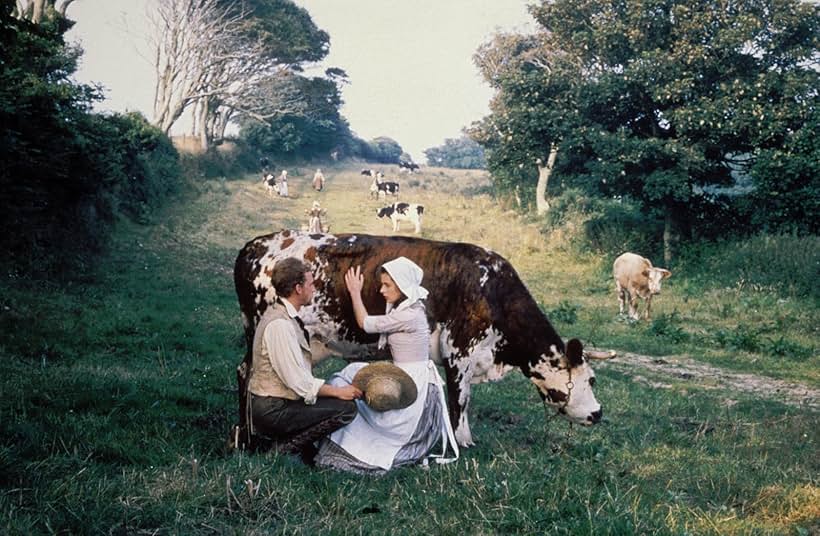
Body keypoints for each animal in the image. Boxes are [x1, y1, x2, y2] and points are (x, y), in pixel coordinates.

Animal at [232, 230, 608, 448]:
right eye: (590, 379)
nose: (597, 414)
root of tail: (254, 244)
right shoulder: (459, 351)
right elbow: (460, 399)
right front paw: (461, 442)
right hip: (259, 329)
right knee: (246, 373)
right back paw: (246, 436)